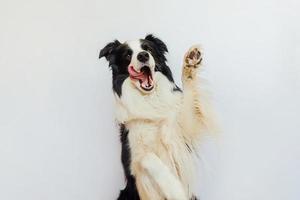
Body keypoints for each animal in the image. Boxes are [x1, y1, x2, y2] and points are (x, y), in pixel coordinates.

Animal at [99, 34, 214, 200]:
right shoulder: (134, 163)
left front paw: (190, 62)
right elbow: (148, 158)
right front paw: (175, 190)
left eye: (148, 49)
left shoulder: (181, 134)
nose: (143, 55)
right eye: (128, 55)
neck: (149, 99)